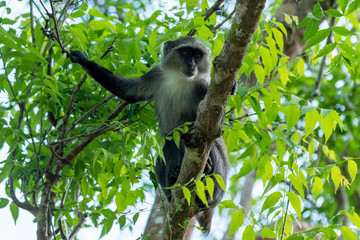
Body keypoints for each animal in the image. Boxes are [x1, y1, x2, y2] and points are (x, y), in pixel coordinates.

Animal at [69, 36, 229, 235]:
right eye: (185, 52)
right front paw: (82, 59)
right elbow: (129, 91)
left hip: (218, 184)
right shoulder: (156, 76)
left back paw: (205, 173)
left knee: (209, 147)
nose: (192, 64)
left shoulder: (204, 89)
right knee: (166, 148)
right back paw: (173, 179)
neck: (181, 80)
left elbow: (214, 126)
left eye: (198, 55)